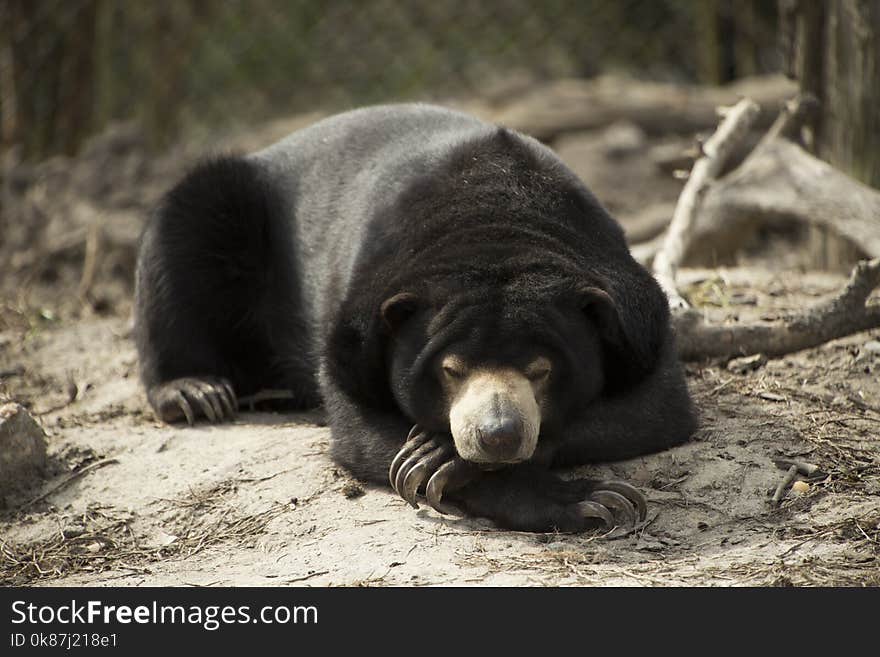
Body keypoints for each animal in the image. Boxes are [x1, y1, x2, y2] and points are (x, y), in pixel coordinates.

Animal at [134, 104, 696, 532]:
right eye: (451, 369)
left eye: (541, 369)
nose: (497, 435)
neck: (496, 220)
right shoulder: (354, 335)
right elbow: (364, 431)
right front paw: (587, 500)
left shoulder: (637, 323)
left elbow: (654, 408)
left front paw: (444, 454)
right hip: (229, 211)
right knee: (181, 237)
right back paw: (195, 391)